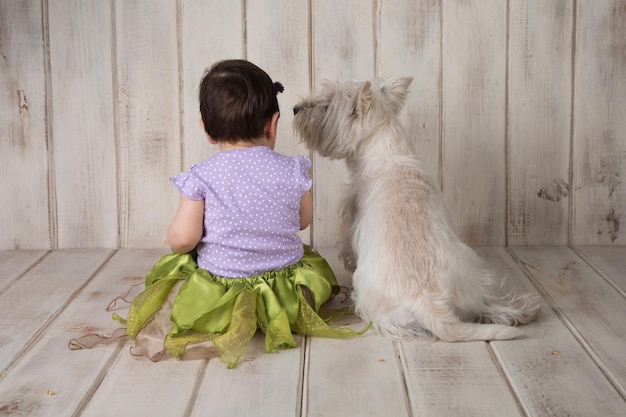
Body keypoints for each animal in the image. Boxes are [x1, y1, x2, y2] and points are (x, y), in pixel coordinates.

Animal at [294, 78, 540, 342]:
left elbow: (348, 249)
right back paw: (523, 311)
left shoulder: (352, 218)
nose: (296, 108)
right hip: (472, 273)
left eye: (325, 105)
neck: (389, 152)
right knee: (486, 303)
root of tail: (428, 301)